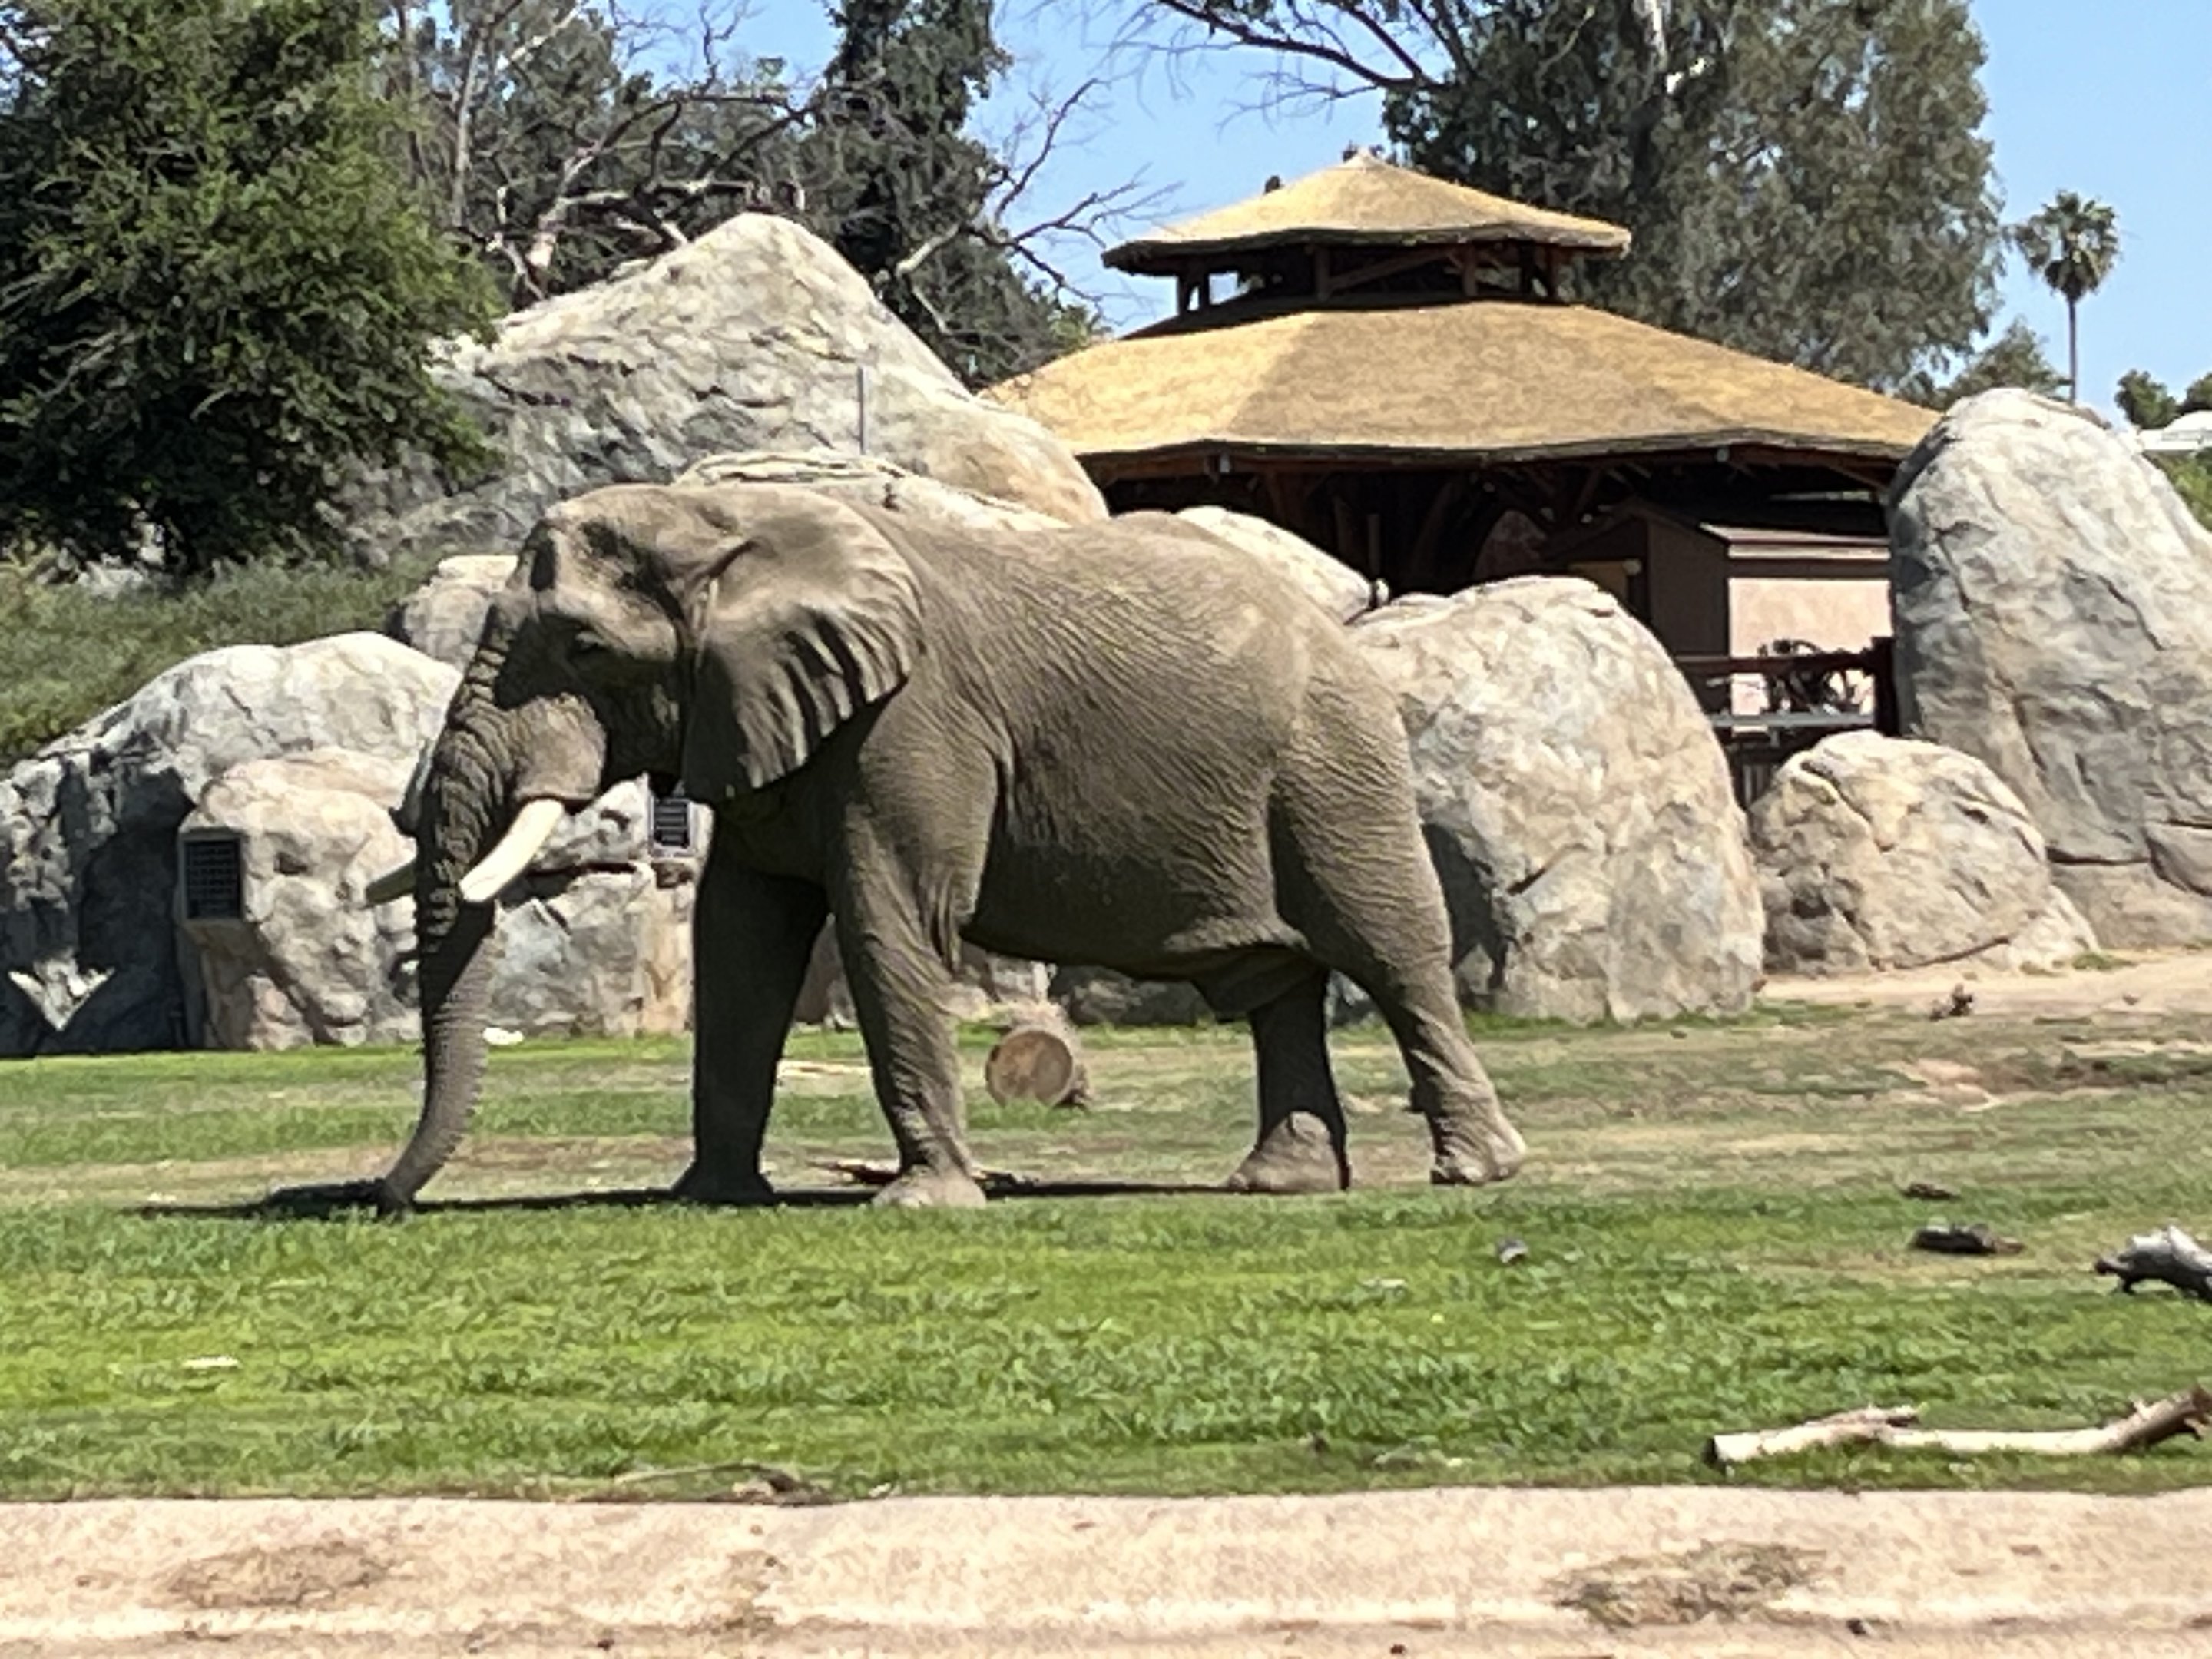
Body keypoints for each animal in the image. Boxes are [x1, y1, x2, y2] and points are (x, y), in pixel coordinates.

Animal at [339, 481, 1525, 1211]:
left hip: (1334, 769)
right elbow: (741, 941)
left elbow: (890, 918)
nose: (376, 1197)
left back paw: (1477, 1174)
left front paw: (927, 1202)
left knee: (1391, 951)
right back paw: (1276, 1185)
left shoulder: (913, 721)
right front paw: (710, 1197)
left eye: (584, 647)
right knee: (1272, 985)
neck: (729, 526)